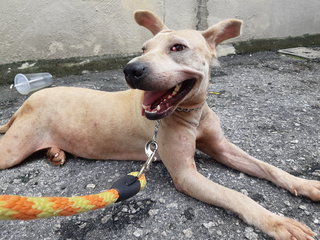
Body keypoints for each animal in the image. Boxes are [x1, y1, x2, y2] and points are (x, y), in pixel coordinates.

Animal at [1, 10, 318, 239]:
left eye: (178, 47)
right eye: (143, 48)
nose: (131, 69)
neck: (191, 113)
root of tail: (27, 100)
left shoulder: (223, 147)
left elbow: (269, 167)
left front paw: (306, 184)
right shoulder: (186, 176)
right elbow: (235, 195)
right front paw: (277, 222)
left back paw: (56, 153)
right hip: (13, 149)